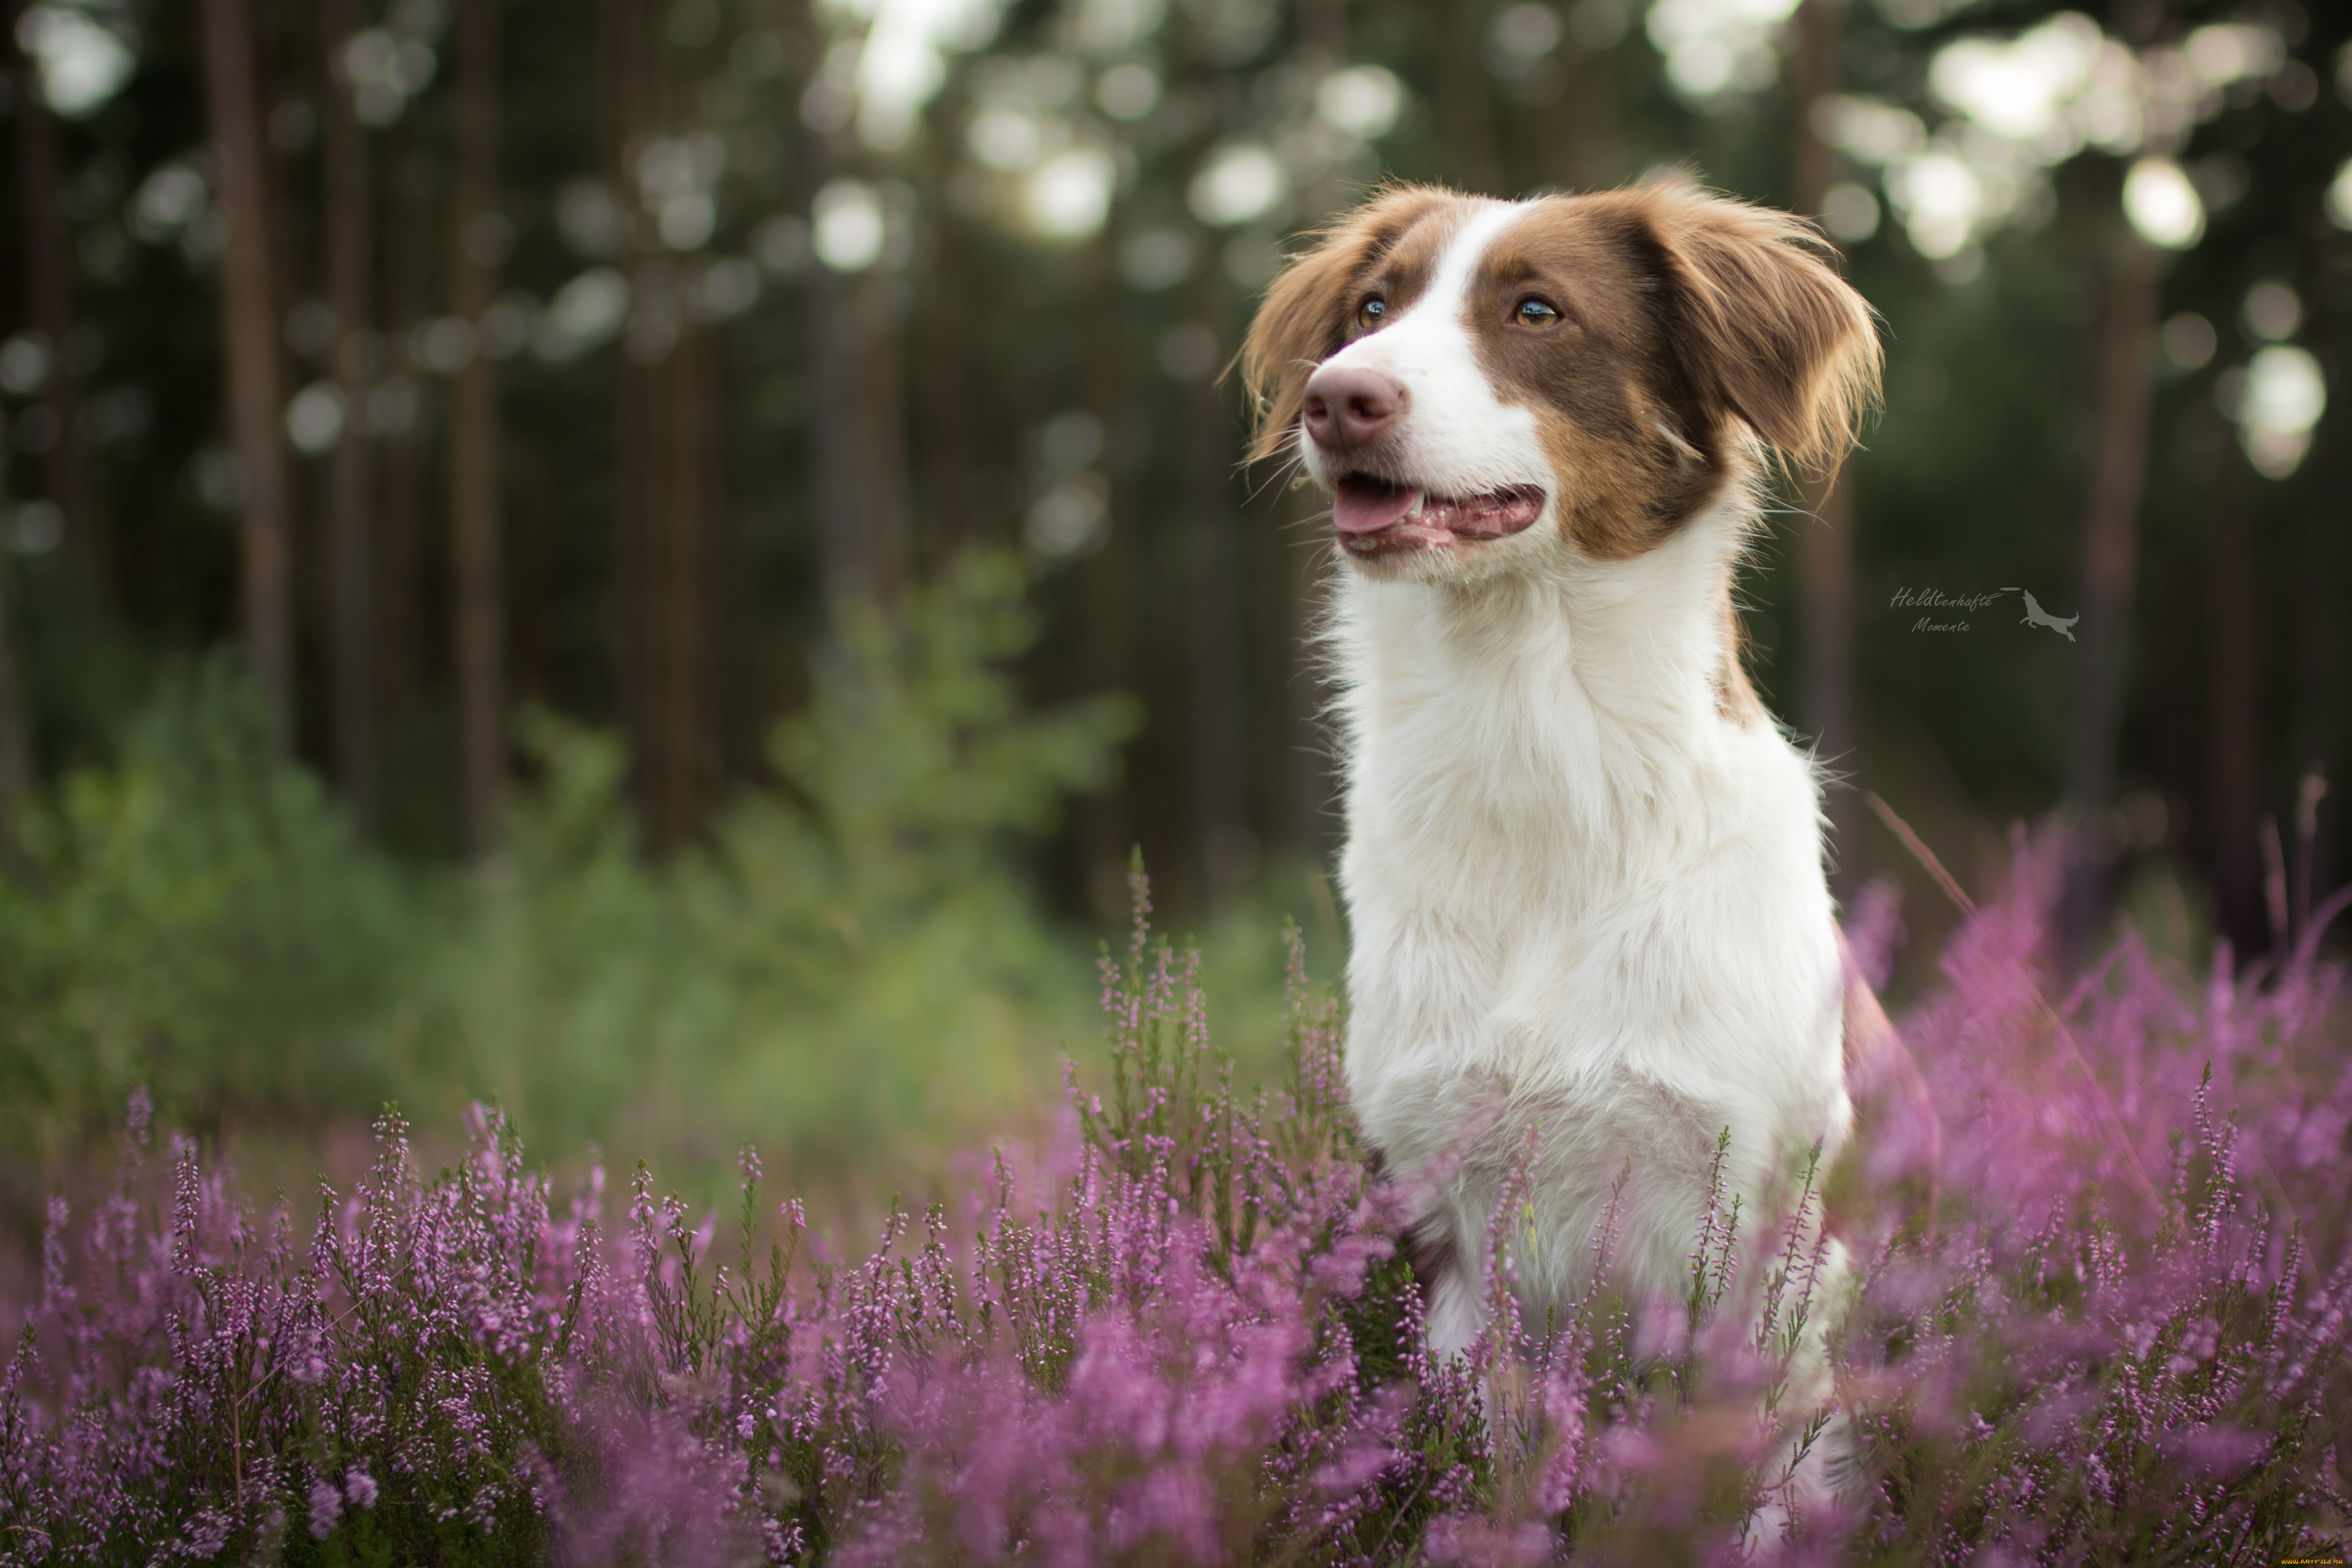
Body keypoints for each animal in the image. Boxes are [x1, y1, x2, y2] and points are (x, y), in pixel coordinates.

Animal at [1232, 175, 1928, 1495]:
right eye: (1371, 307)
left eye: (1537, 311)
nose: (1338, 395)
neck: (1544, 760)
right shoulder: (1447, 1224)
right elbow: (1488, 1482)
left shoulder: (1773, 1230)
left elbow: (1760, 1484)